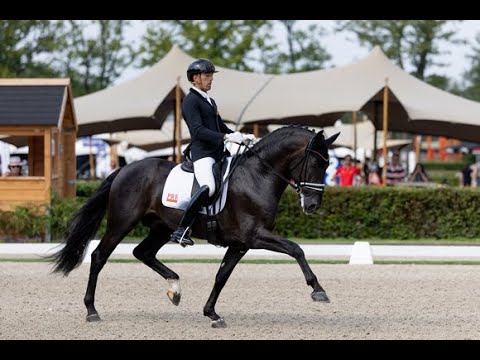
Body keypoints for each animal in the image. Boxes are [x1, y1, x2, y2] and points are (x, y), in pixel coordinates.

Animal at [49, 125, 338, 328]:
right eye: (316, 162)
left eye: (327, 164)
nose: (312, 205)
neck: (259, 176)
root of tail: (125, 169)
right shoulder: (255, 236)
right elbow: (296, 248)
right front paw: (318, 290)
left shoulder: (240, 244)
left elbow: (222, 276)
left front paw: (212, 314)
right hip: (122, 222)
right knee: (99, 256)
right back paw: (91, 311)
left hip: (161, 228)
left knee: (142, 253)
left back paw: (175, 289)